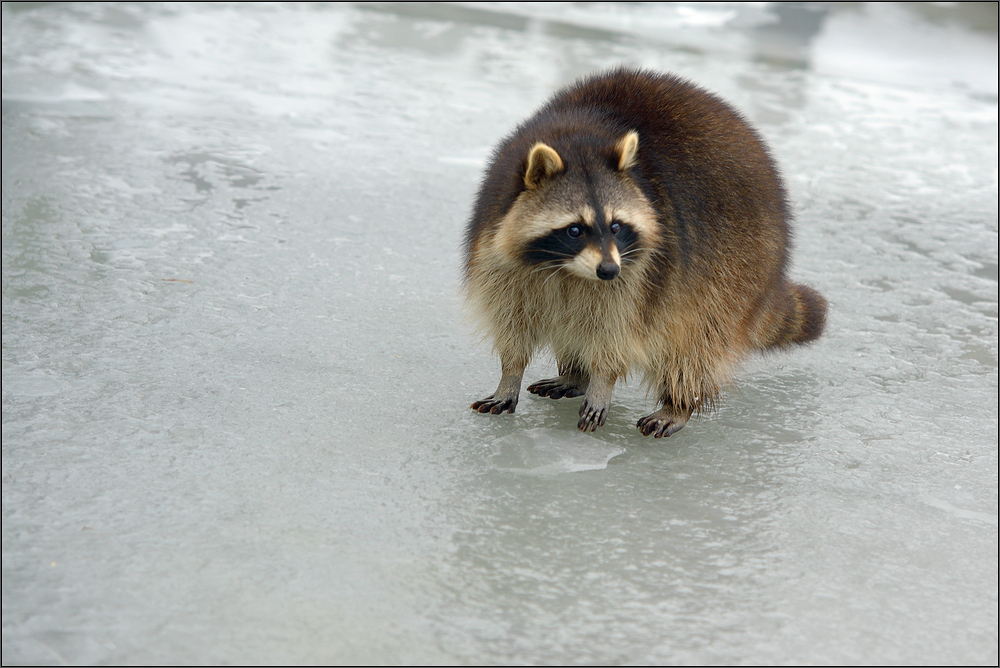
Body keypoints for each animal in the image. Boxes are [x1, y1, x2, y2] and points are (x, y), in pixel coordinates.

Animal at [464, 65, 824, 436]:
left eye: (616, 226)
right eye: (575, 230)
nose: (609, 271)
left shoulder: (644, 273)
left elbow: (618, 330)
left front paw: (602, 381)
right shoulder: (498, 245)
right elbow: (511, 319)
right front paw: (510, 375)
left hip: (738, 267)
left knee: (696, 339)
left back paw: (677, 404)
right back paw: (576, 374)